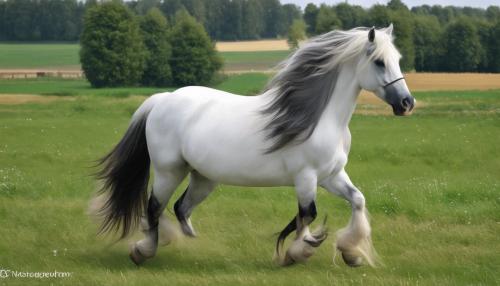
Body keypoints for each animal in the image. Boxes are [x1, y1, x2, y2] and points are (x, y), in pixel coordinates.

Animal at [93, 25, 414, 268]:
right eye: (379, 62)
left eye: (397, 59)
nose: (406, 103)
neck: (320, 119)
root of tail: (162, 99)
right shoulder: (306, 177)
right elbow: (307, 214)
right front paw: (296, 253)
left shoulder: (331, 176)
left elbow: (357, 200)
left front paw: (351, 253)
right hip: (168, 171)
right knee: (154, 206)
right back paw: (143, 250)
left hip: (203, 178)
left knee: (179, 208)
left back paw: (184, 238)